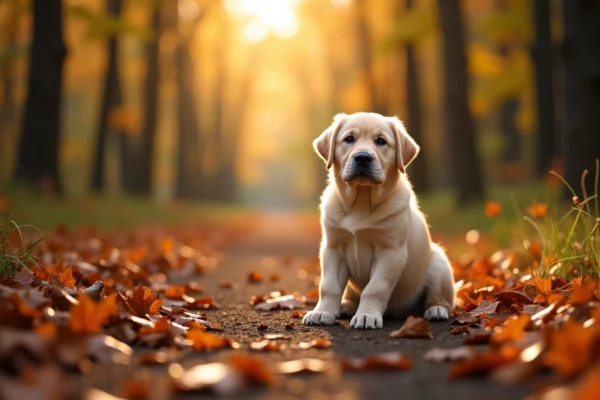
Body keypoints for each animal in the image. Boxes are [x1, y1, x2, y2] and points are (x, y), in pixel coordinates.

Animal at [304, 111, 454, 328]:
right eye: (349, 139)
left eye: (381, 141)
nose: (363, 158)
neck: (361, 202)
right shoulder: (333, 248)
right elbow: (328, 286)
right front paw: (322, 312)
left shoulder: (390, 252)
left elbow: (375, 288)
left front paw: (366, 316)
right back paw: (346, 306)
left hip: (439, 266)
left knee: (440, 299)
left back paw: (436, 310)